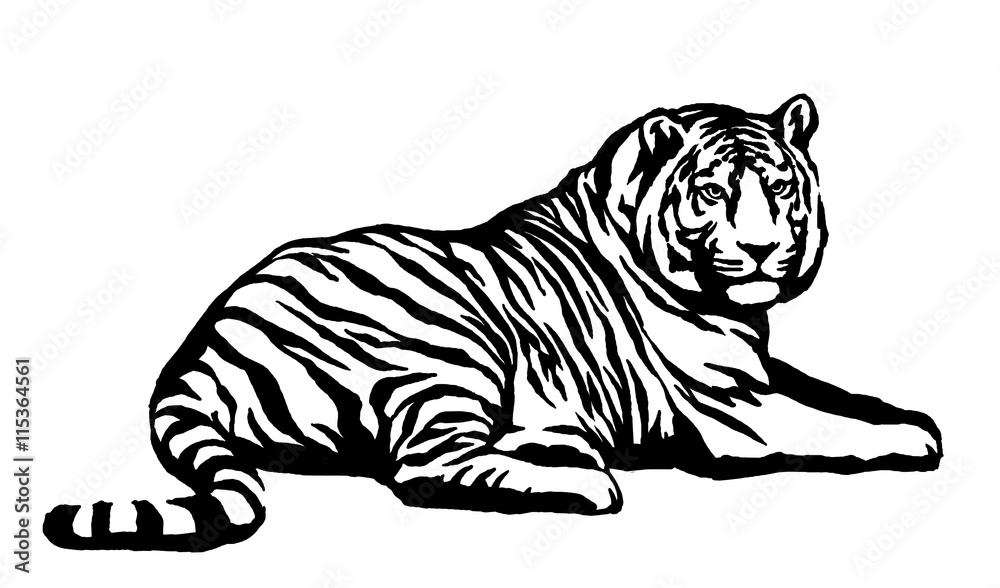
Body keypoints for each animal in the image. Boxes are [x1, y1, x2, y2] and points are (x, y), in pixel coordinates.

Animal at [44, 95, 942, 552]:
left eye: (780, 188)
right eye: (713, 192)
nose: (760, 251)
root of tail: (204, 344)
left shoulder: (754, 372)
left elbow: (832, 394)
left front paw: (906, 413)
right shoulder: (730, 411)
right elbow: (826, 426)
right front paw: (912, 438)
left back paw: (564, 448)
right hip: (451, 351)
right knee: (423, 472)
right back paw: (585, 481)